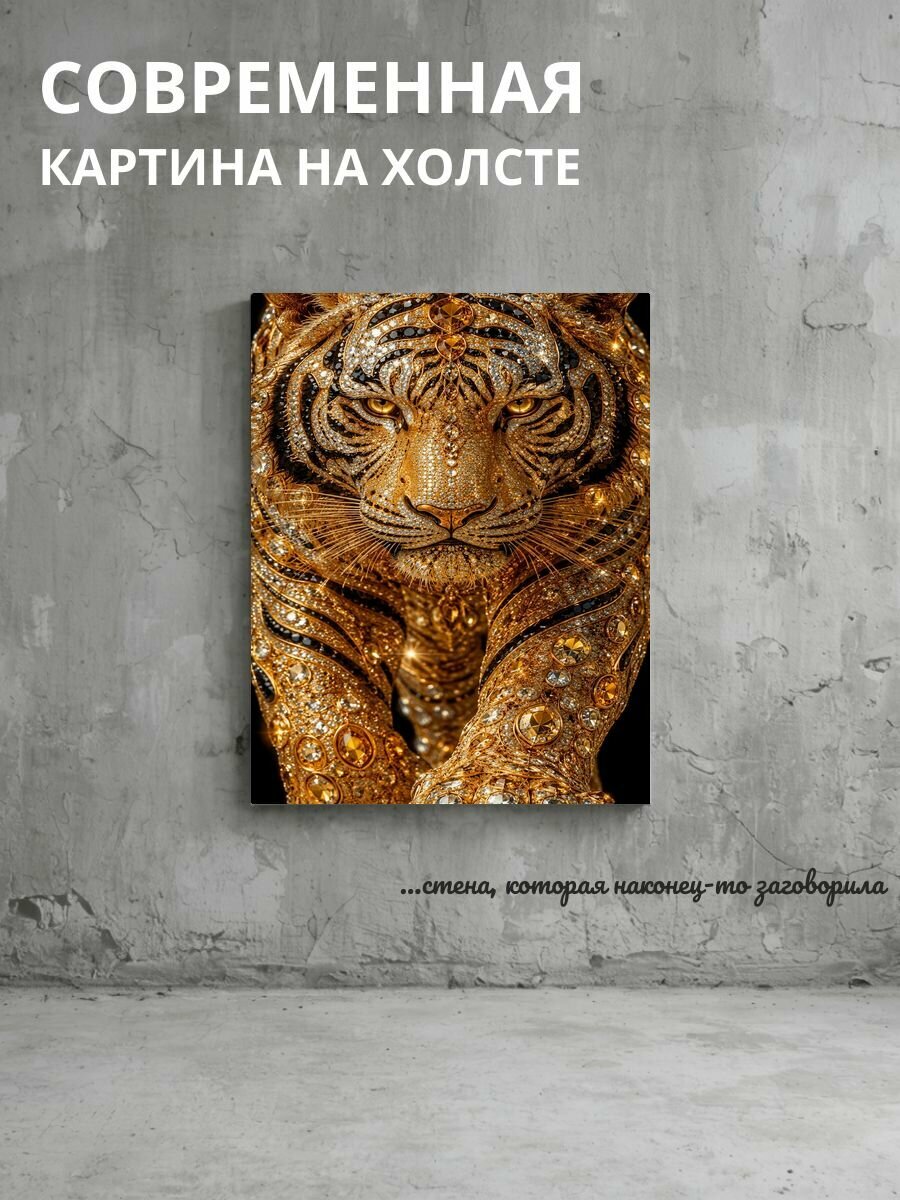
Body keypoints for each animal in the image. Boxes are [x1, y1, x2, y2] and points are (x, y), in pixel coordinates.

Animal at [250, 292, 649, 805]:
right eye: (381, 405)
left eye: (521, 406)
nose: (450, 513)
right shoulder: (304, 563)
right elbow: (323, 686)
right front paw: (364, 790)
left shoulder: (588, 551)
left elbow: (554, 660)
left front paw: (504, 780)